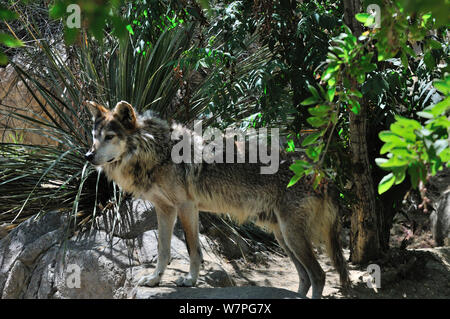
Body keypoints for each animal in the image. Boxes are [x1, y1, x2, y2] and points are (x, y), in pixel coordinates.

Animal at [84, 100, 352, 300]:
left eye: (110, 136)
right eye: (94, 136)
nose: (88, 155)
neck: (156, 152)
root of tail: (323, 175)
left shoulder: (186, 207)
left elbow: (193, 250)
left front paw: (189, 281)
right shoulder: (165, 209)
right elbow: (163, 250)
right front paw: (154, 280)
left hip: (292, 236)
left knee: (318, 275)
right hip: (283, 237)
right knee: (305, 276)